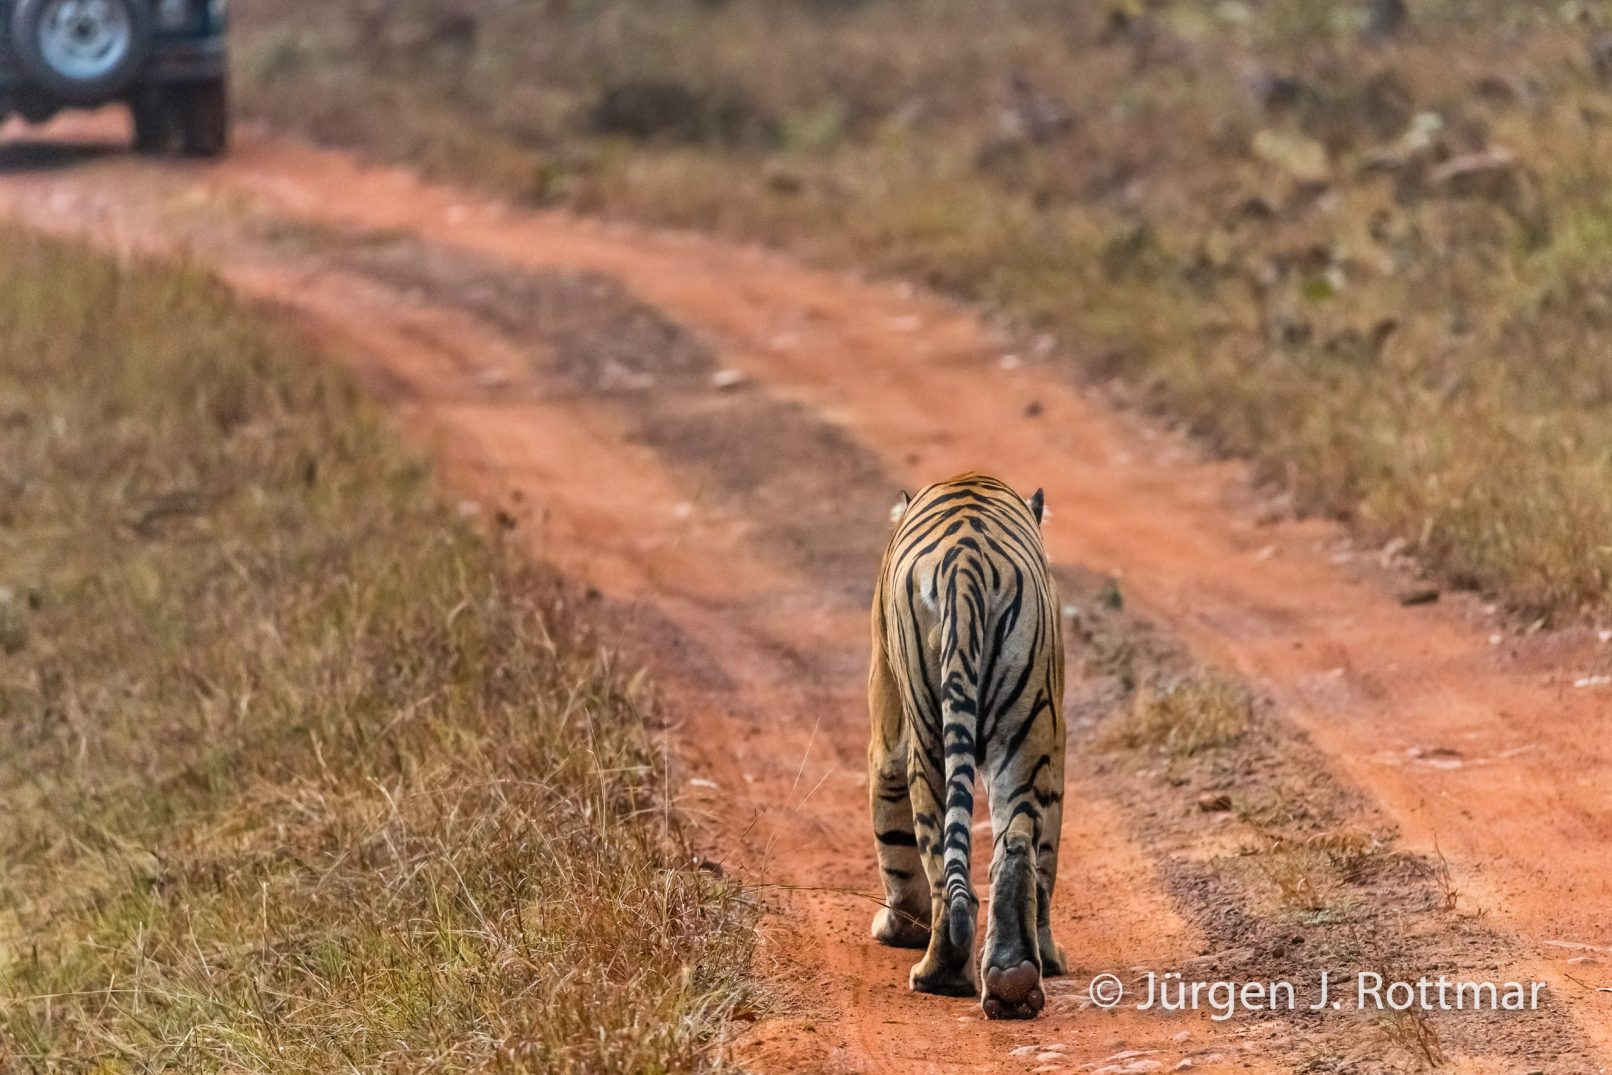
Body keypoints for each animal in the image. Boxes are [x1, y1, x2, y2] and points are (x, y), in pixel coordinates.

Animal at [867, 472, 1067, 1020]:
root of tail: (965, 561)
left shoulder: (888, 720)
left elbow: (892, 830)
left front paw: (896, 928)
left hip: (929, 733)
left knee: (938, 854)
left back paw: (937, 973)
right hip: (1025, 731)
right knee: (1017, 846)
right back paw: (1012, 981)